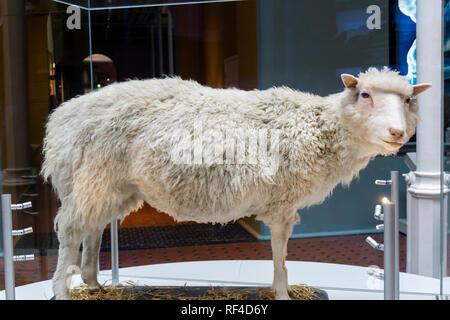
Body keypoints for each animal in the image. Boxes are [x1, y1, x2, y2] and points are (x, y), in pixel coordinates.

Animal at [43, 67, 432, 300]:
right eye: (365, 94)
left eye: (409, 100)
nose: (397, 134)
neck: (321, 127)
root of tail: (61, 116)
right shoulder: (282, 201)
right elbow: (279, 251)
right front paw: (282, 292)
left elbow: (280, 252)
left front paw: (279, 289)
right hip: (92, 175)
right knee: (72, 231)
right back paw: (62, 289)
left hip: (113, 185)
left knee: (93, 229)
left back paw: (93, 283)